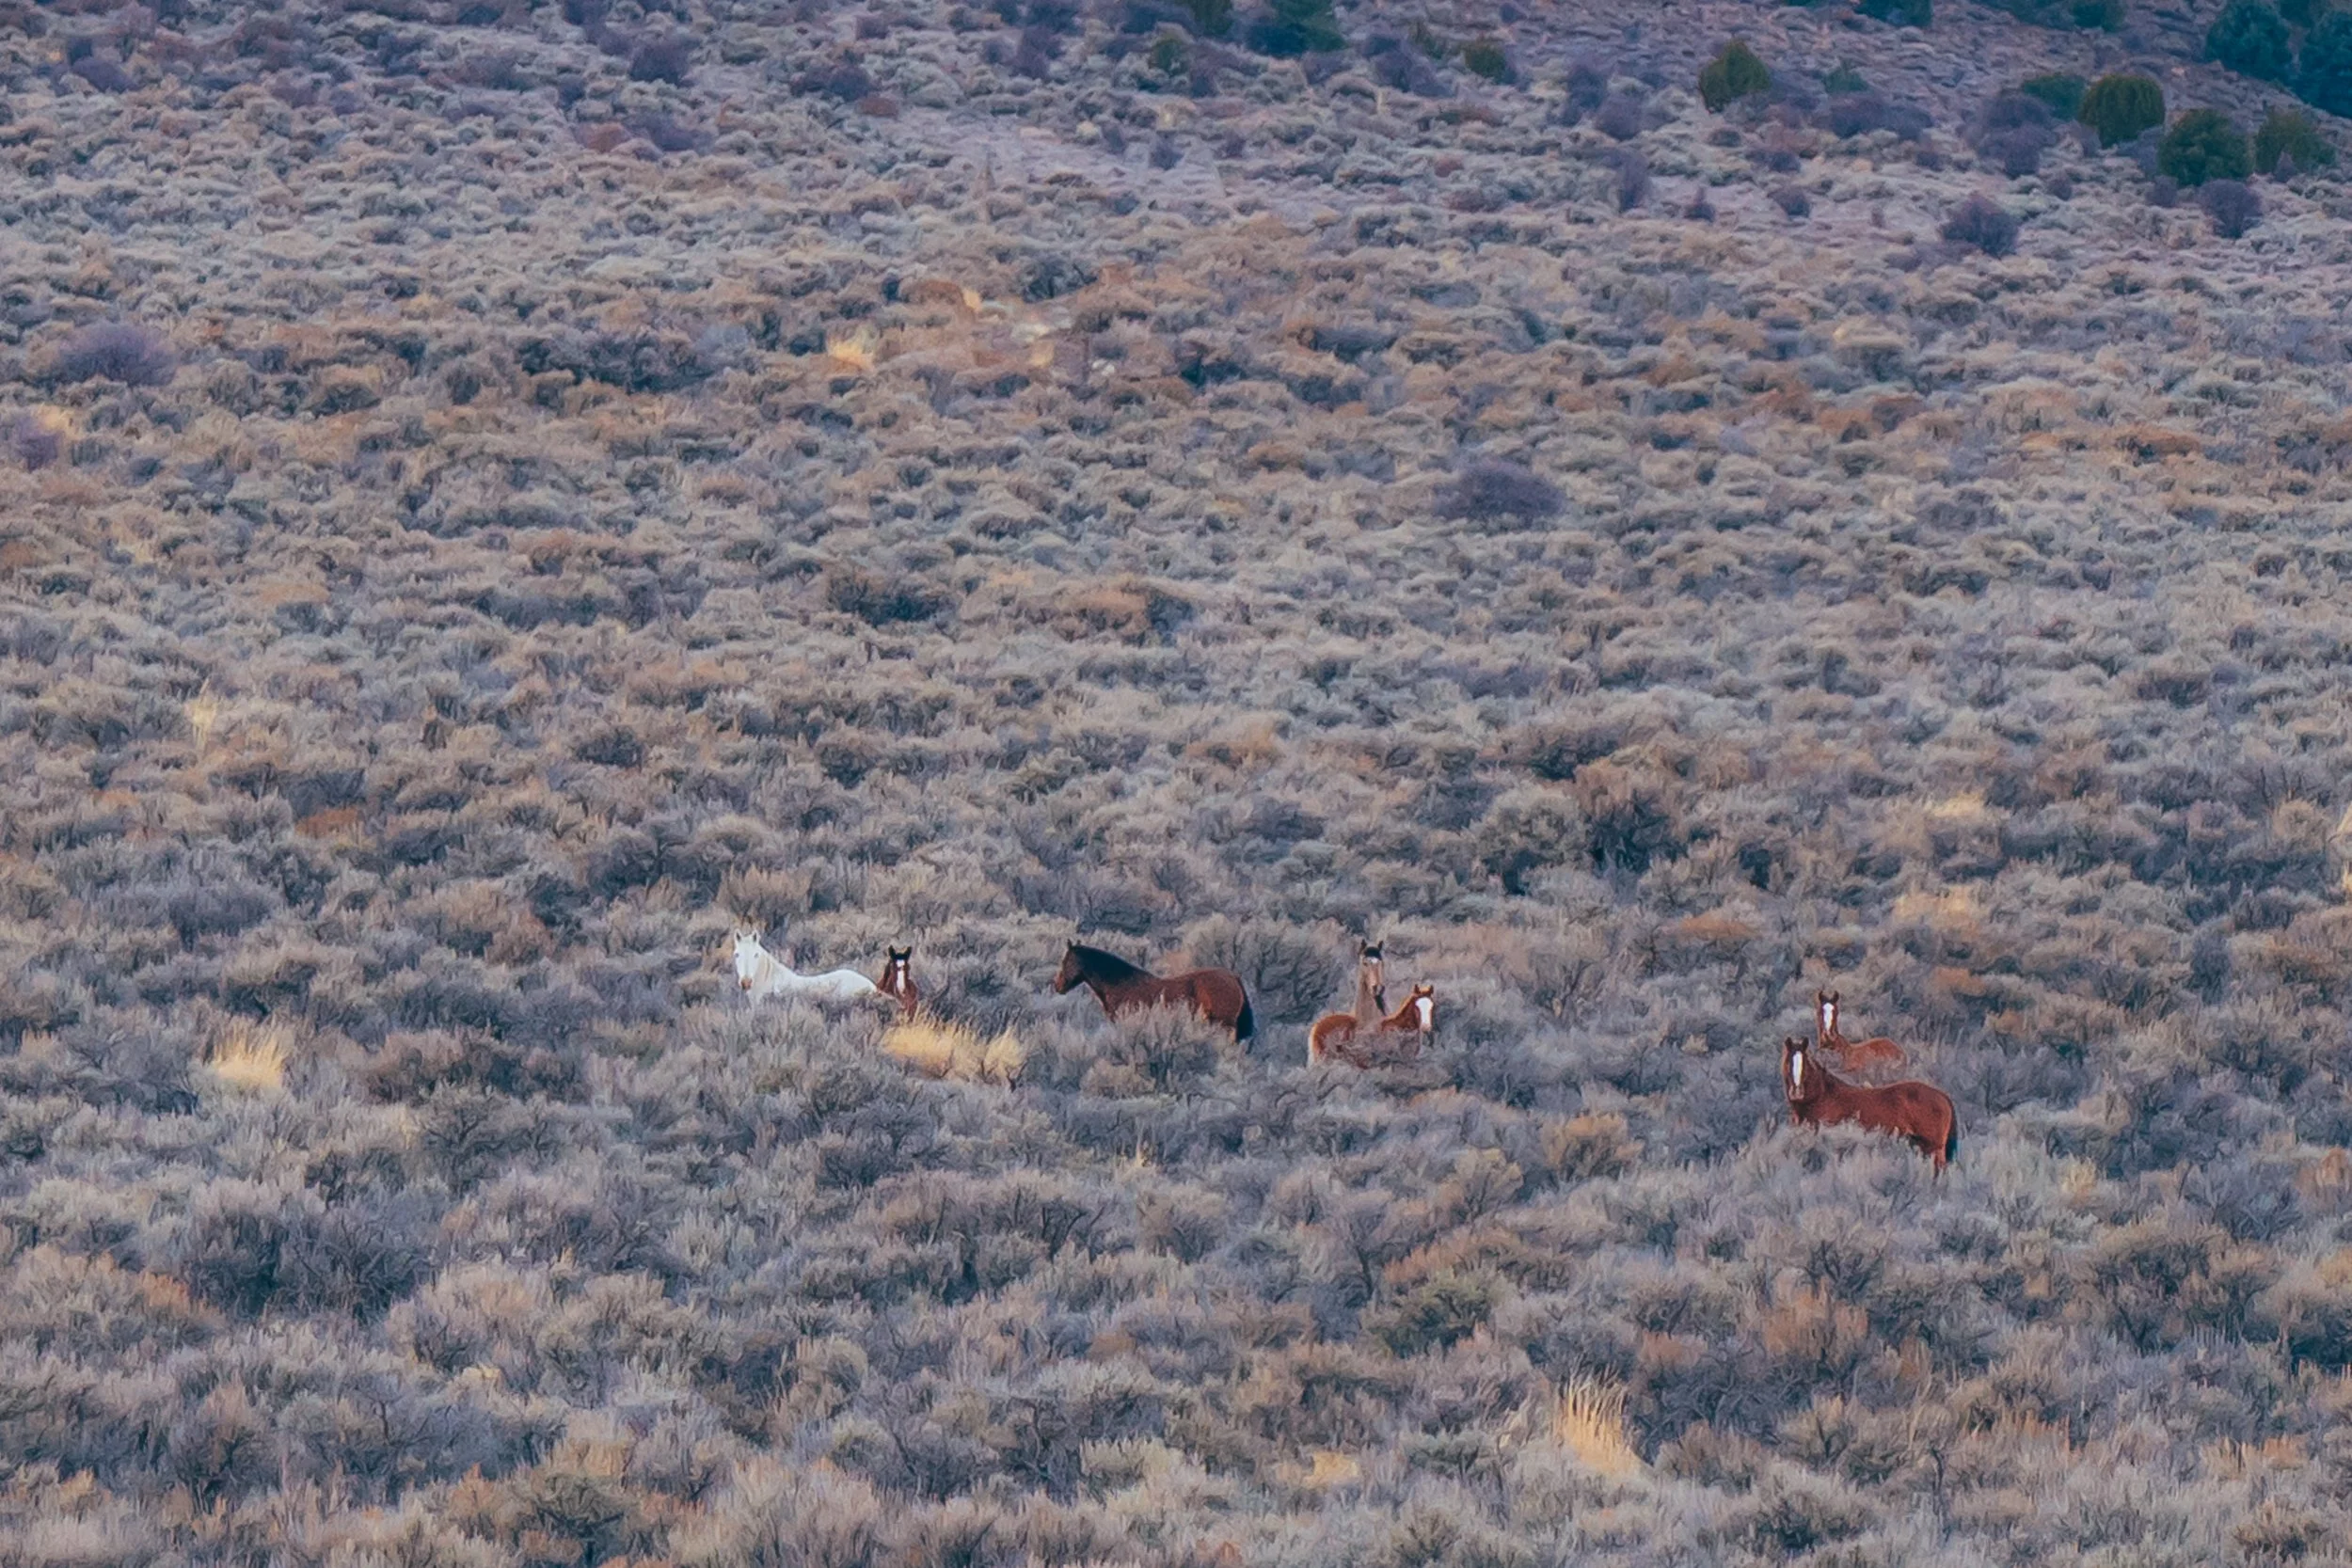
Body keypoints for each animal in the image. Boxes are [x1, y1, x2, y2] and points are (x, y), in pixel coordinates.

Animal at [1781, 1036, 1957, 1173]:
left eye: (1805, 1065)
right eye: (1788, 1064)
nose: (1796, 1093)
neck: (1823, 1097)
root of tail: (1943, 1096)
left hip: (1933, 1148)